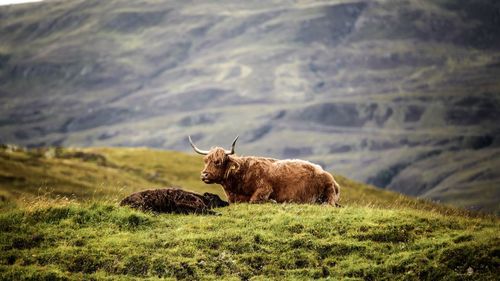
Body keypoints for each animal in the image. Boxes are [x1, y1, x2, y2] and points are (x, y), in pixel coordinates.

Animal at [188, 135, 340, 205]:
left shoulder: (265, 189)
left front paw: (272, 201)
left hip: (328, 190)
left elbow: (253, 200)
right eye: (205, 161)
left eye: (218, 162)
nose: (204, 175)